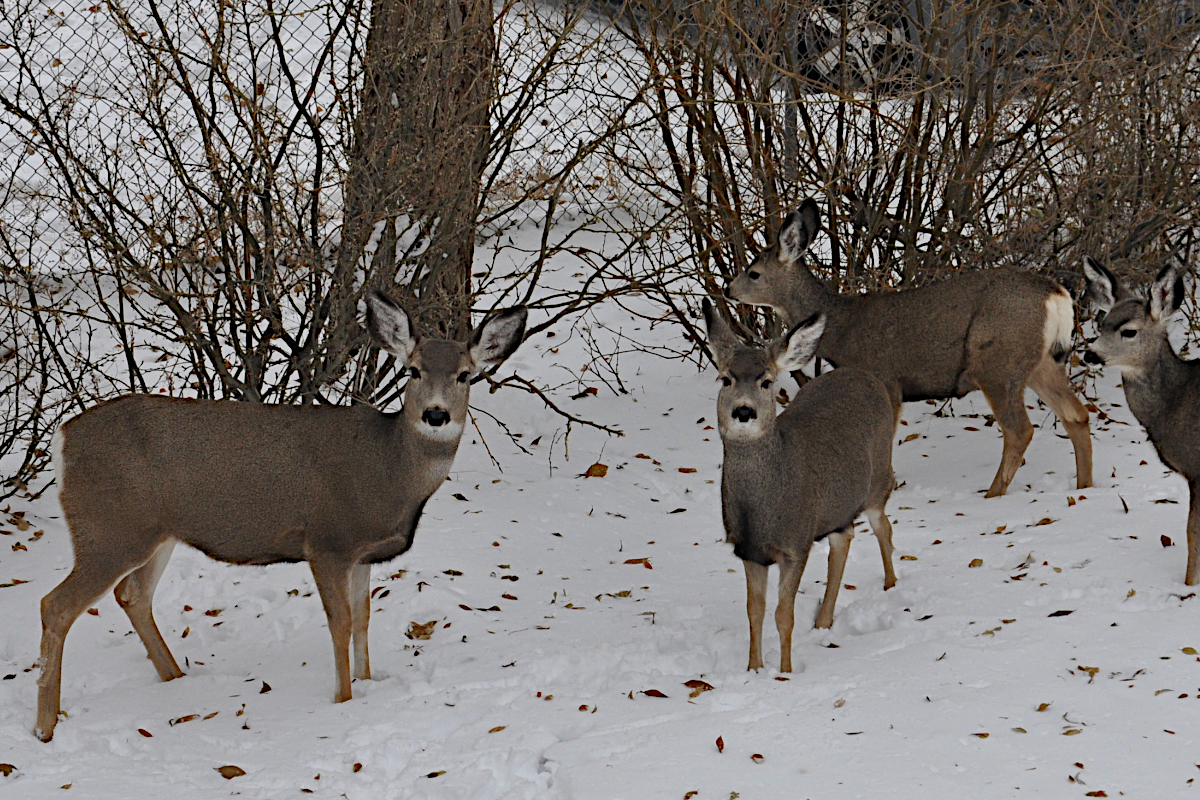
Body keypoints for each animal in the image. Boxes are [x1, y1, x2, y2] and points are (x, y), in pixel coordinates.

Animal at [34, 289, 525, 743]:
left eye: (465, 375)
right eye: (414, 370)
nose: (436, 414)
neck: (388, 472)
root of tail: (62, 441)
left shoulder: (363, 554)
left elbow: (364, 617)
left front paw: (367, 684)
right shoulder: (328, 541)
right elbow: (341, 622)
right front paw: (344, 701)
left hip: (154, 533)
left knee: (132, 595)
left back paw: (176, 679)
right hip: (109, 529)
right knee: (56, 604)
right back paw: (44, 726)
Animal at [720, 199, 1099, 496]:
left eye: (753, 272)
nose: (727, 289)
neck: (841, 326)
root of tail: (1056, 295)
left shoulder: (886, 378)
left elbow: (886, 434)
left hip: (997, 360)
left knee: (1020, 430)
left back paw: (992, 493)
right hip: (1040, 362)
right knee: (1077, 415)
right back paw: (1085, 487)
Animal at [1080, 260, 1200, 585]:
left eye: (1129, 331)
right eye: (1102, 325)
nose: (1090, 354)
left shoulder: (1198, 467)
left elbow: (1192, 532)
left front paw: (1188, 585)